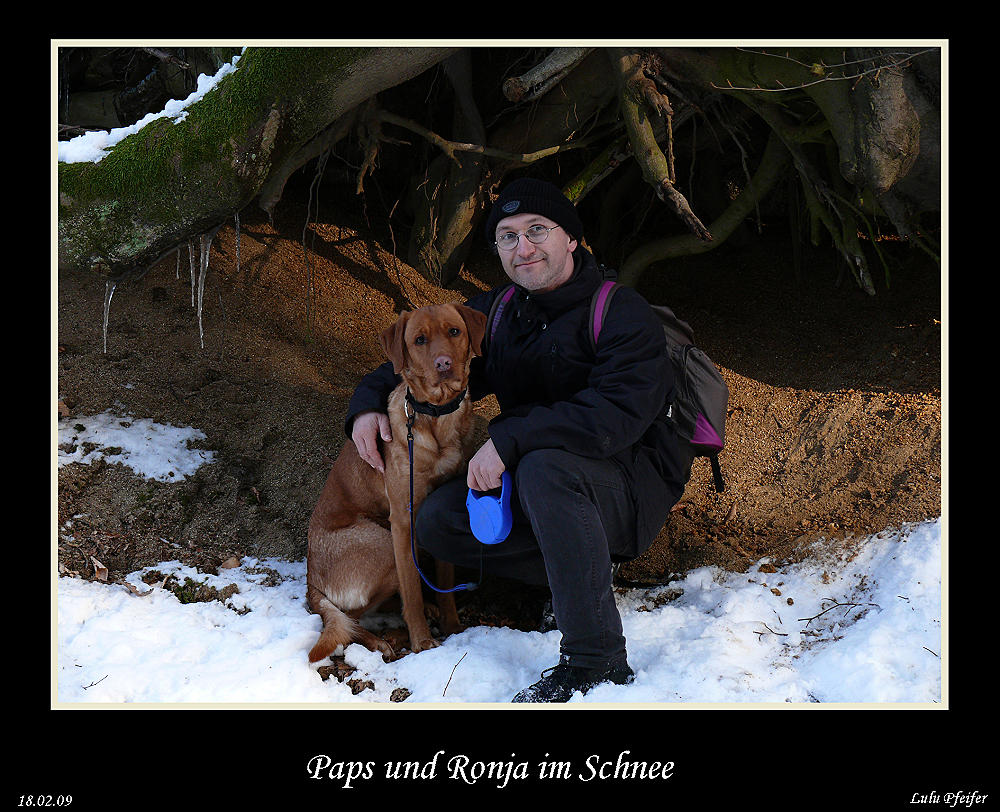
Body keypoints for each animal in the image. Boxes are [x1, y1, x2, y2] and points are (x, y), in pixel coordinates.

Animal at [308, 302, 488, 664]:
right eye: (419, 340)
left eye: (454, 331)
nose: (443, 364)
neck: (436, 415)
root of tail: (309, 578)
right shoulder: (404, 521)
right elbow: (412, 590)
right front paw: (422, 642)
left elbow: (444, 582)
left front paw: (452, 627)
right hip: (382, 546)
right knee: (347, 617)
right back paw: (377, 641)